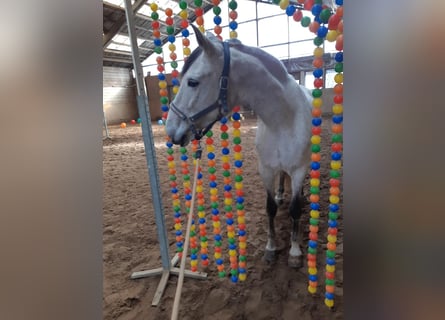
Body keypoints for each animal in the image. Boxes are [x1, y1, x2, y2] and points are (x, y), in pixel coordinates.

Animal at [165, 25, 310, 268]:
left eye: (193, 82)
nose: (171, 131)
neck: (283, 121)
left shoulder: (298, 170)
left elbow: (295, 210)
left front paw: (295, 252)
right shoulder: (266, 169)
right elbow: (270, 208)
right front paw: (271, 248)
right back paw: (281, 194)